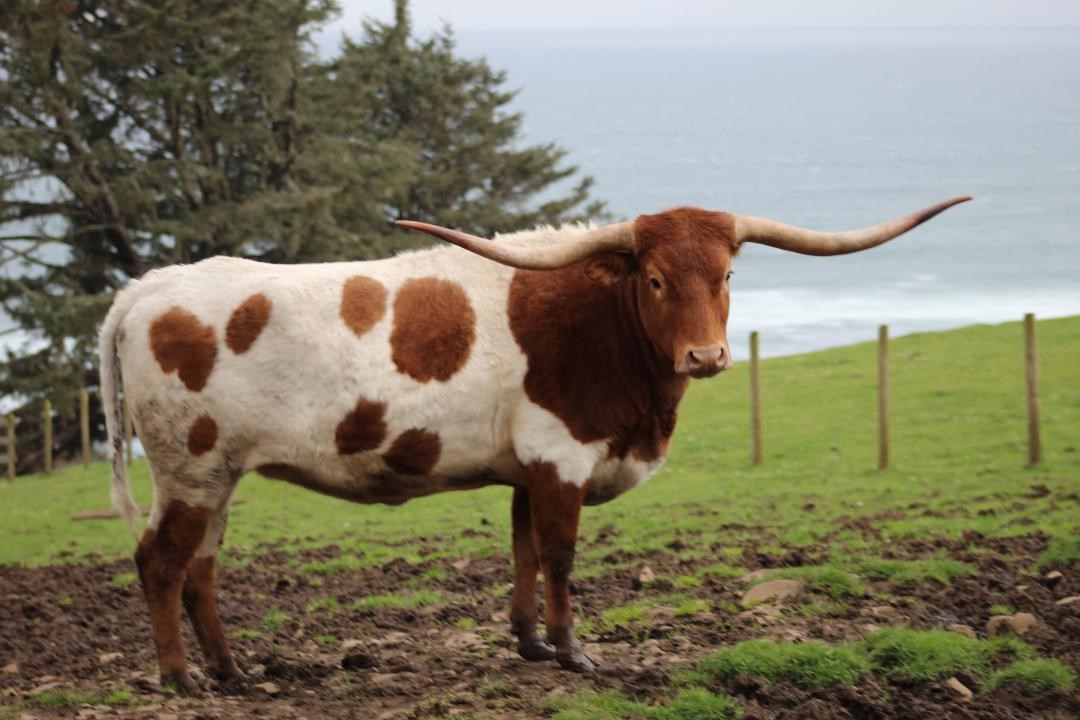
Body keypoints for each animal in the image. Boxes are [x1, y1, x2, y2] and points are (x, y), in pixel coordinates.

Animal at [98, 196, 969, 692]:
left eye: (726, 276)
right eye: (655, 278)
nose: (706, 356)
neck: (603, 323)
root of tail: (147, 289)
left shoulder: (529, 467)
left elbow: (519, 549)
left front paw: (528, 645)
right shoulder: (564, 457)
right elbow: (558, 555)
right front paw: (572, 651)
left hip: (217, 475)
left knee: (201, 568)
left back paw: (232, 672)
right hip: (191, 470)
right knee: (161, 562)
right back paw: (179, 679)